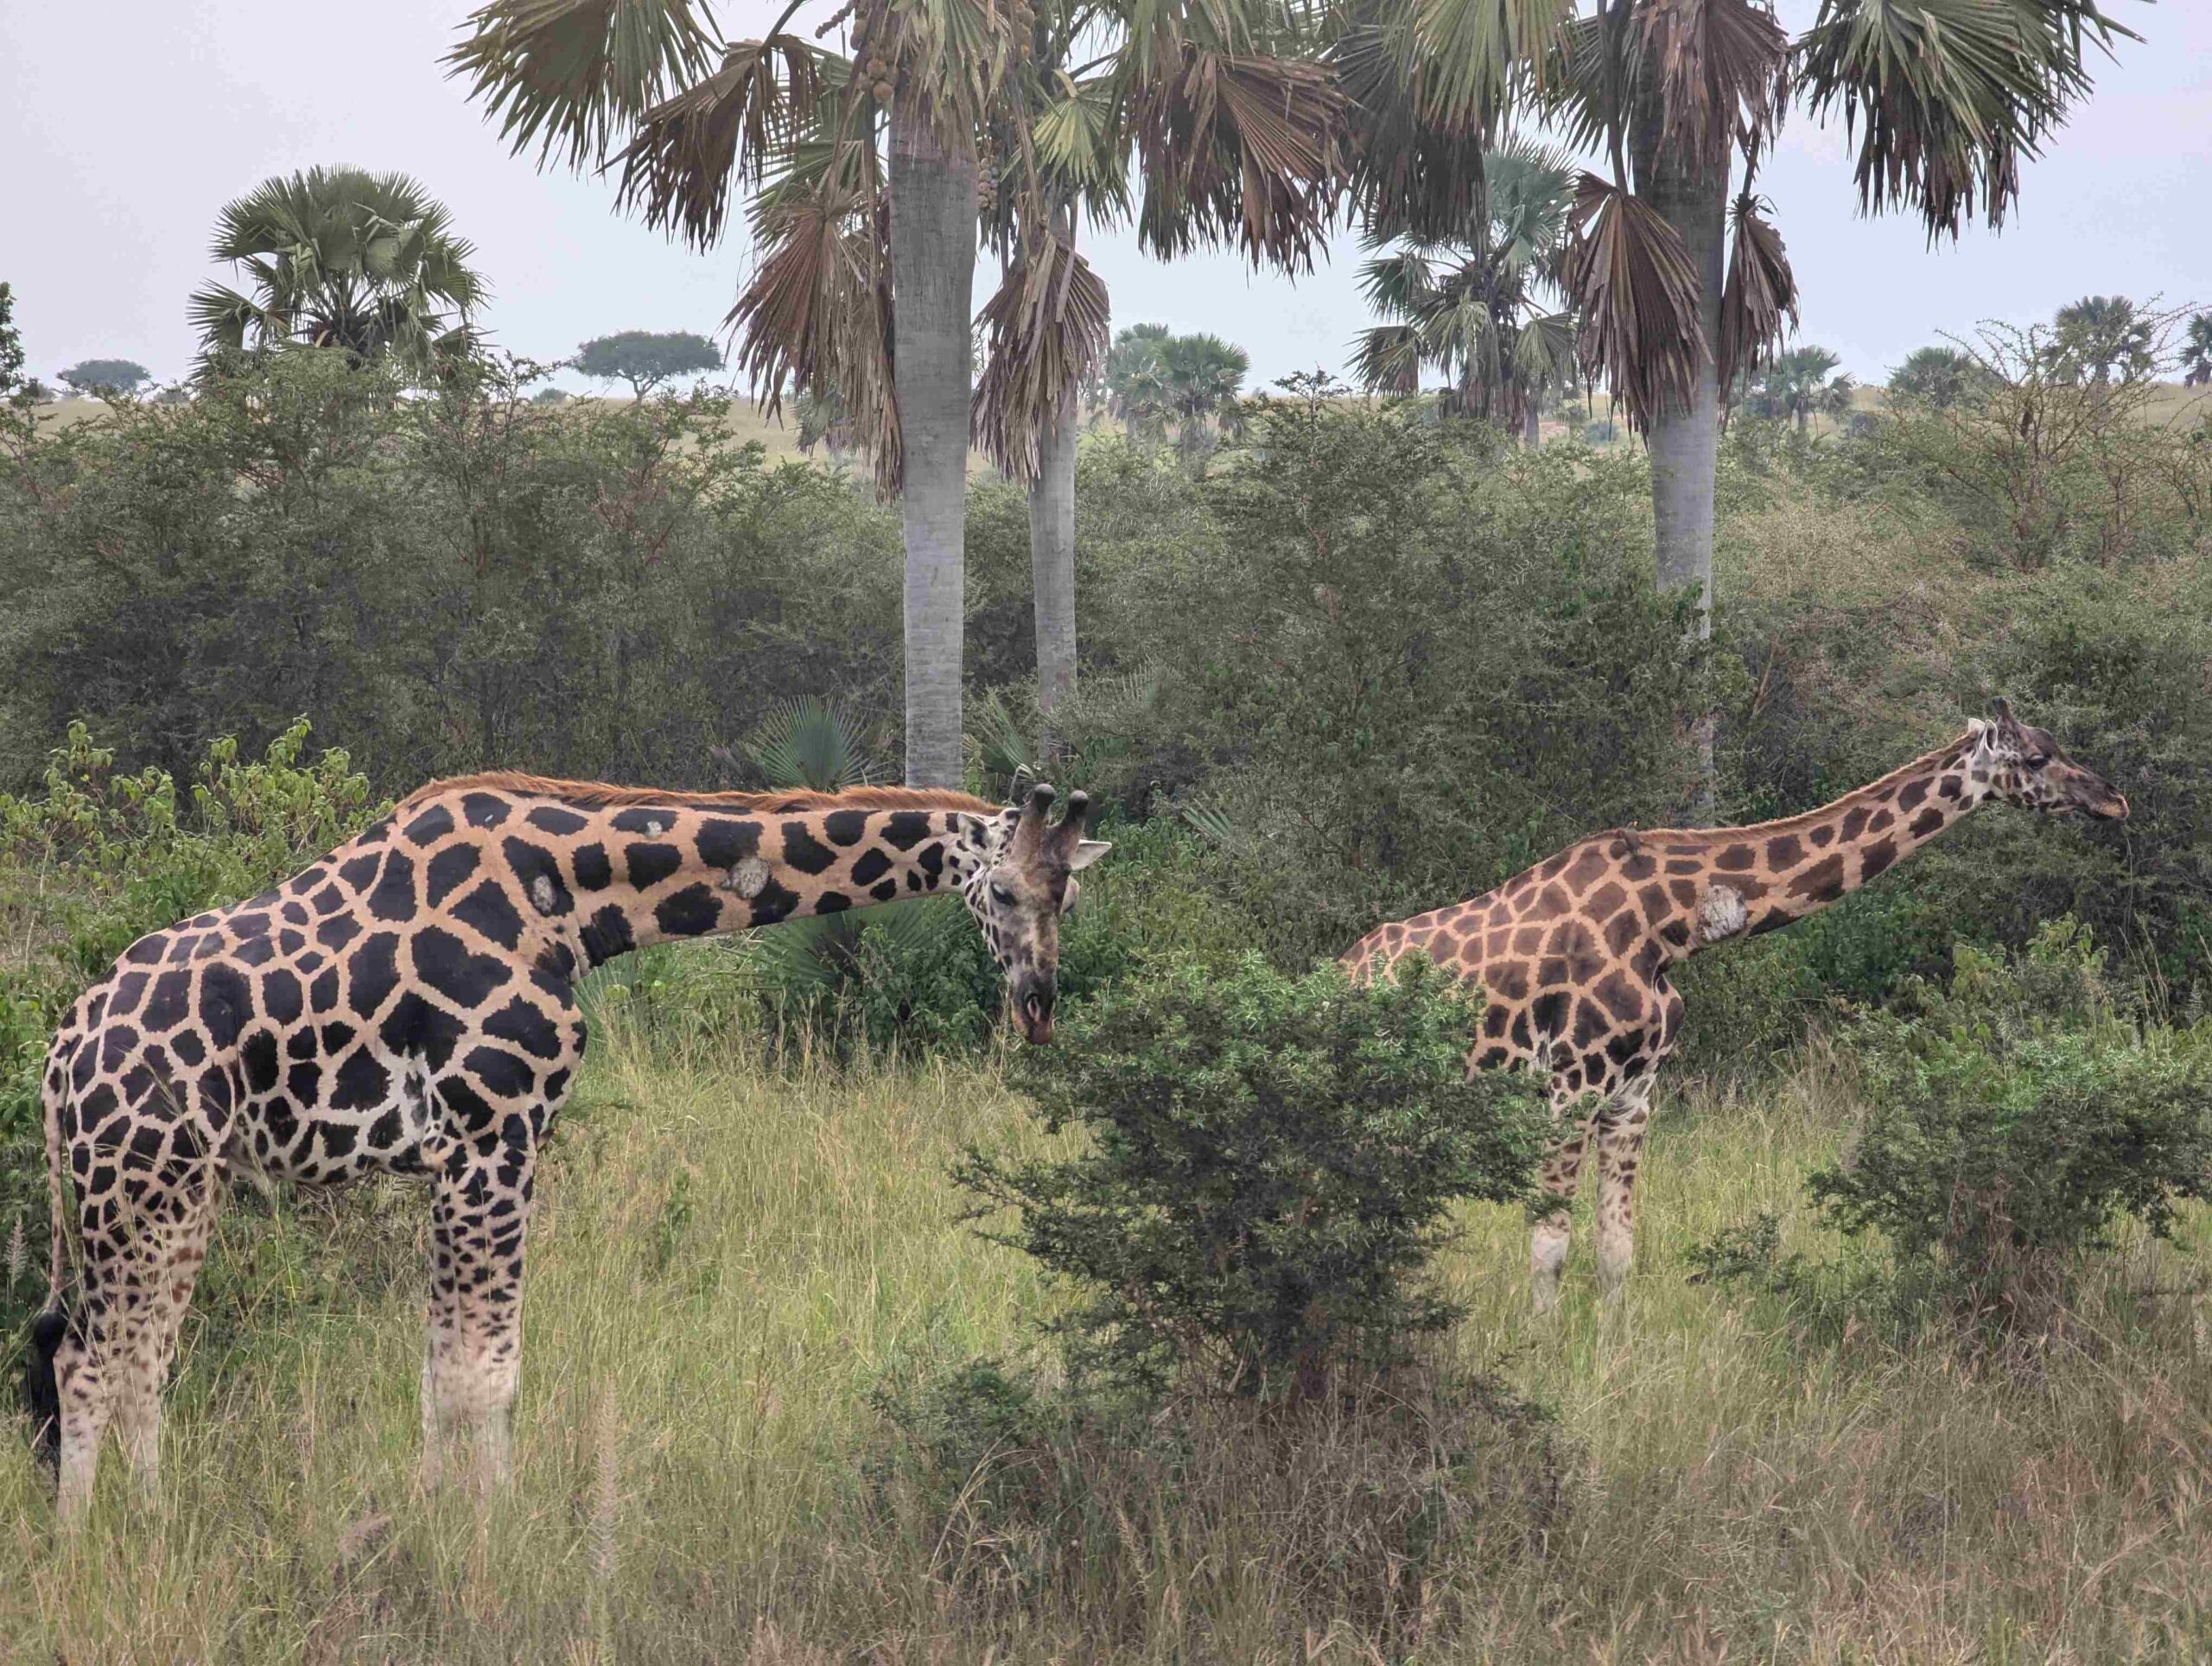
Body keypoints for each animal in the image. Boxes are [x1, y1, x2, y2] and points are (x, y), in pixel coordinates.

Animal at [26, 765, 1106, 1522]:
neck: (574, 902)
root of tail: (58, 1056)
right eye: (1003, 893)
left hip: (178, 1186)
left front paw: (434, 1511)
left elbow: (441, 1369)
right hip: (134, 1181)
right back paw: (88, 1544)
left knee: (140, 1361)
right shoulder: (495, 1134)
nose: (1039, 1005)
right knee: (91, 1360)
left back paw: (157, 1520)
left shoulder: (462, 1154)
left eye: (1067, 896)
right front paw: (494, 1532)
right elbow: (485, 1370)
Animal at [1336, 703, 2132, 1309]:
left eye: (2061, 746)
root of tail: (1341, 969)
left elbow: (1618, 1247)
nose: (2112, 798)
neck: (1670, 927)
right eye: (2035, 758)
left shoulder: (1633, 1094)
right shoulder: (1571, 1085)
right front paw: (1543, 1345)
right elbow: (1550, 1244)